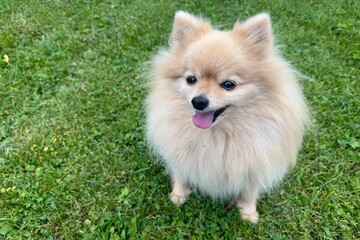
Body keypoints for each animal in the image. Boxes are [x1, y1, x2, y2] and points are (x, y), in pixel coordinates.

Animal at [145, 11, 308, 223]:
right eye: (191, 80)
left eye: (229, 84)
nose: (198, 101)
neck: (216, 134)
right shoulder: (180, 151)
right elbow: (181, 174)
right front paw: (178, 195)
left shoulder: (254, 162)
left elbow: (249, 192)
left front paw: (248, 213)